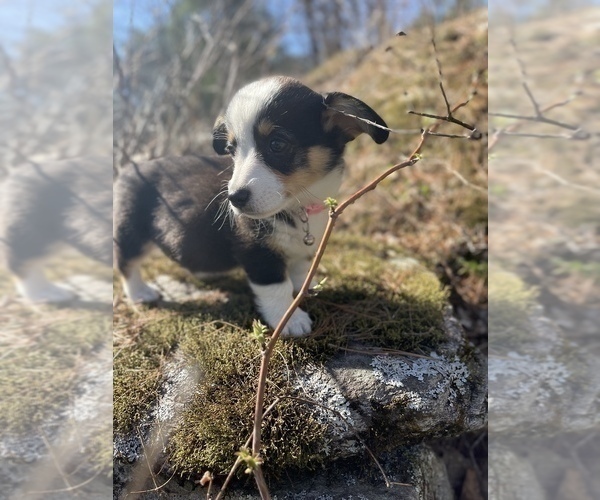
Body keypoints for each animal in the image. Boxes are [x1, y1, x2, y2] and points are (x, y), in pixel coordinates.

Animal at [113, 76, 390, 336]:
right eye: (230, 150)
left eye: (277, 144)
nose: (234, 198)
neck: (299, 206)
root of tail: (127, 169)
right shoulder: (257, 252)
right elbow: (277, 288)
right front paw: (291, 319)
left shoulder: (300, 250)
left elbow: (300, 270)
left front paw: (306, 288)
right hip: (131, 233)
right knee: (126, 263)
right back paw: (140, 293)